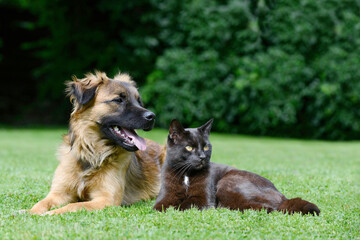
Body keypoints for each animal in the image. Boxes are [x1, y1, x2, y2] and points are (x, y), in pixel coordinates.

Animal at [27, 71, 165, 216]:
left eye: (139, 101)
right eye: (118, 100)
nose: (152, 116)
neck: (92, 153)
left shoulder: (106, 199)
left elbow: (74, 206)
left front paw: (51, 213)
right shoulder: (59, 193)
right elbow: (42, 202)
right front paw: (29, 211)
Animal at [153, 119, 320, 215]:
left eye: (206, 147)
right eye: (189, 147)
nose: (202, 157)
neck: (186, 175)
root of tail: (281, 195)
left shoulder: (204, 199)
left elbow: (185, 204)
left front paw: (177, 207)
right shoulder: (164, 197)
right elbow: (160, 206)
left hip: (228, 182)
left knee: (270, 208)